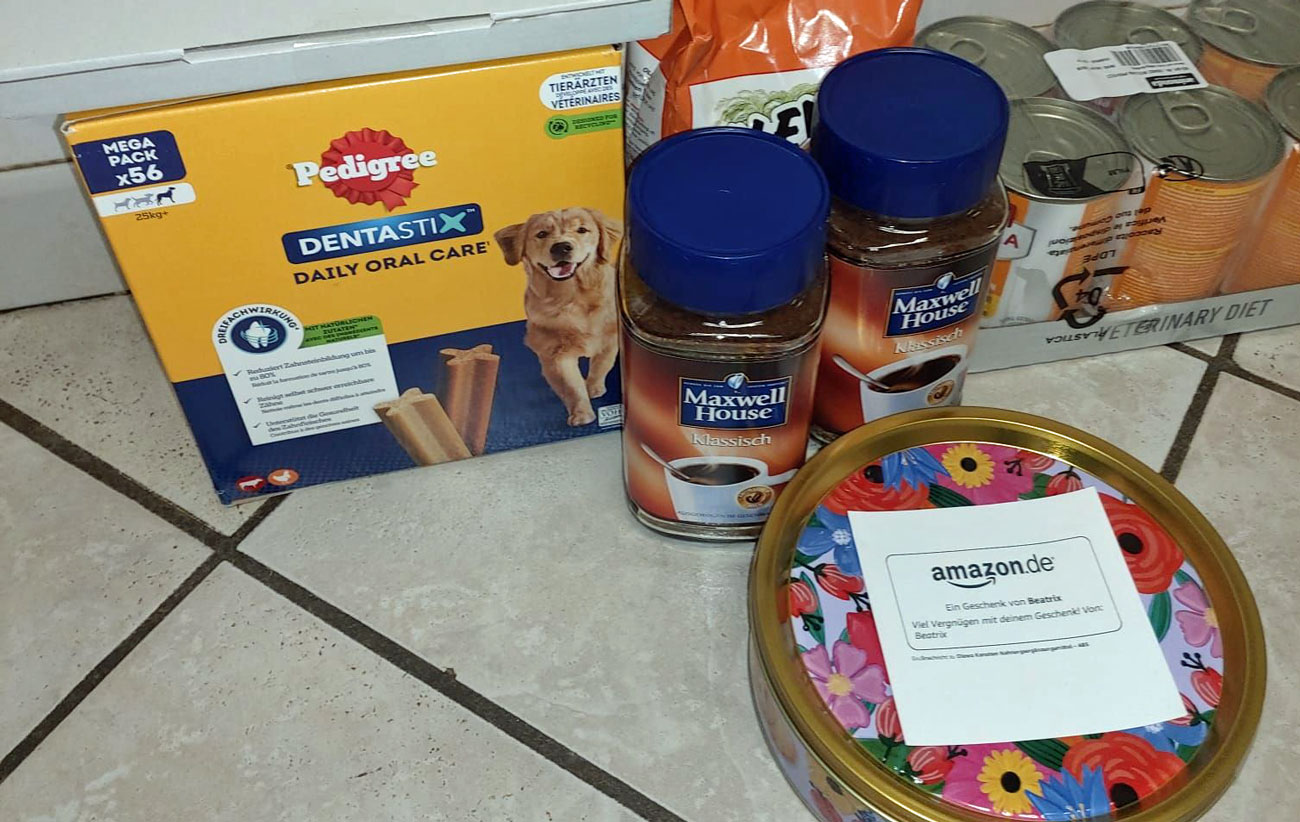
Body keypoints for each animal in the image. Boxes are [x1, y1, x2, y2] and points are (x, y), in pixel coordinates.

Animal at [494, 207, 623, 426]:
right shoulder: (553, 353)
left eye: (582, 230)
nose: (561, 247)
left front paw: (593, 388)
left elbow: (601, 365)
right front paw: (582, 415)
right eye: (541, 234)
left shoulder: (609, 339)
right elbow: (571, 386)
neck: (573, 298)